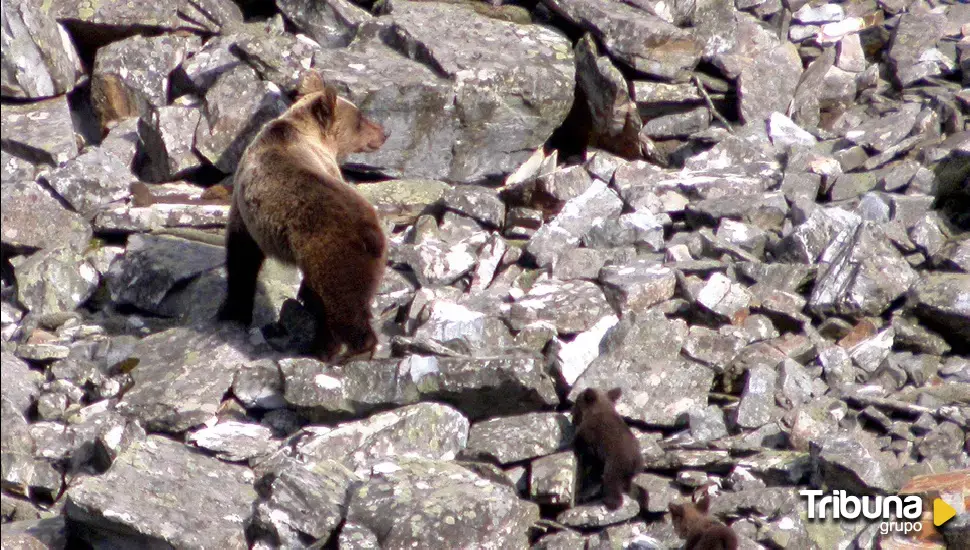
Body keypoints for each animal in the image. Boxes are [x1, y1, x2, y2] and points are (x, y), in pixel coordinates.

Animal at [219, 70, 386, 362]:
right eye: (360, 118)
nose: (383, 132)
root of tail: (371, 232)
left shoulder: (245, 206)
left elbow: (242, 255)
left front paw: (232, 309)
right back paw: (326, 347)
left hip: (332, 252)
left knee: (341, 304)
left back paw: (349, 349)